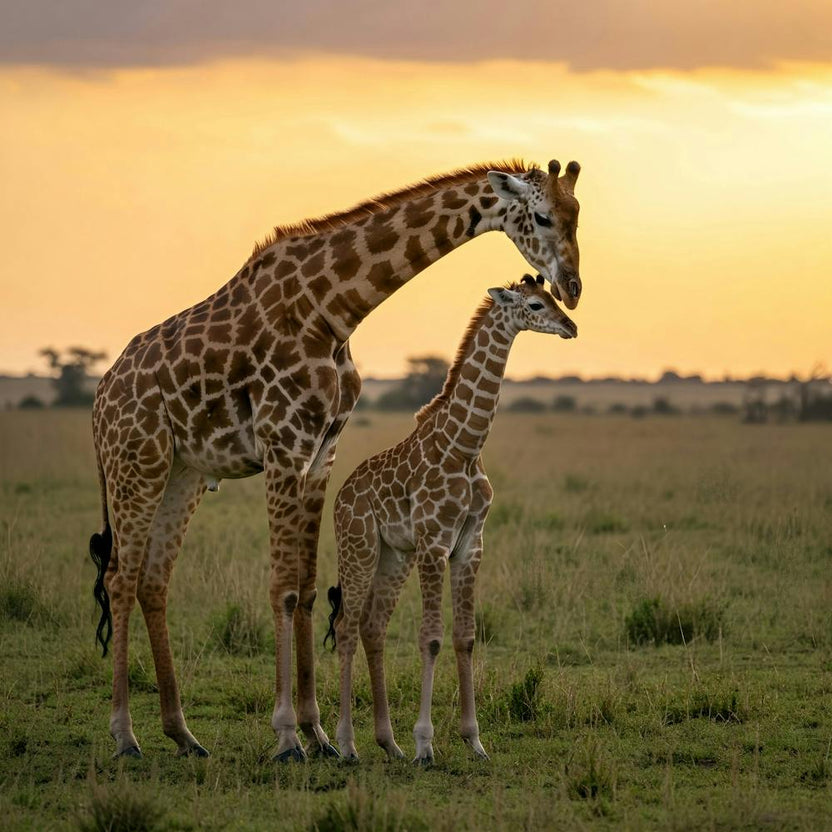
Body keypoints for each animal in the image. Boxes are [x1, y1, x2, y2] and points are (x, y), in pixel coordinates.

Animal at [325, 275, 577, 763]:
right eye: (536, 305)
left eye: (554, 298)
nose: (571, 326)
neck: (465, 446)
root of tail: (341, 496)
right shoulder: (434, 543)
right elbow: (432, 637)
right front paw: (426, 744)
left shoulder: (469, 546)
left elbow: (465, 637)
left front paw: (474, 741)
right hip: (359, 546)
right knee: (345, 627)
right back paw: (347, 744)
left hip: (394, 555)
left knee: (372, 628)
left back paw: (389, 743)